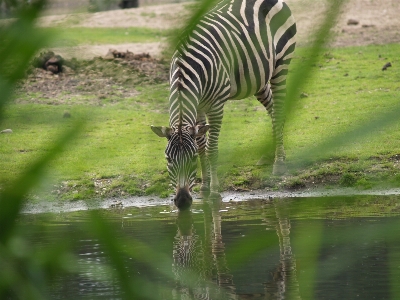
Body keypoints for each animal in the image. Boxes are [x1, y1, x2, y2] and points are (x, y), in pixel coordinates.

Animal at [152, 0, 296, 209]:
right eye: (169, 159)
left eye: (192, 159)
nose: (183, 201)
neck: (186, 70)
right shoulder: (198, 106)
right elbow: (201, 144)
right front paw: (204, 186)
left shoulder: (215, 106)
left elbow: (211, 148)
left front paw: (214, 191)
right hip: (258, 79)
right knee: (272, 108)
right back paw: (274, 152)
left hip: (281, 64)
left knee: (277, 111)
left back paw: (279, 164)